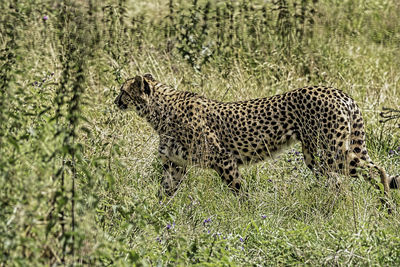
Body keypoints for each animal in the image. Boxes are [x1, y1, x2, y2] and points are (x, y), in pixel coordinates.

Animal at [114, 74, 398, 208]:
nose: (115, 101)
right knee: (341, 183)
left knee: (376, 170)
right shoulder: (175, 165)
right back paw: (334, 206)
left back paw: (385, 206)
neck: (158, 111)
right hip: (316, 157)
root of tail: (339, 92)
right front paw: (153, 215)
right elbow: (163, 193)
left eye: (123, 91)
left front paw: (248, 214)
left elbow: (239, 191)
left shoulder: (223, 158)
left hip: (330, 151)